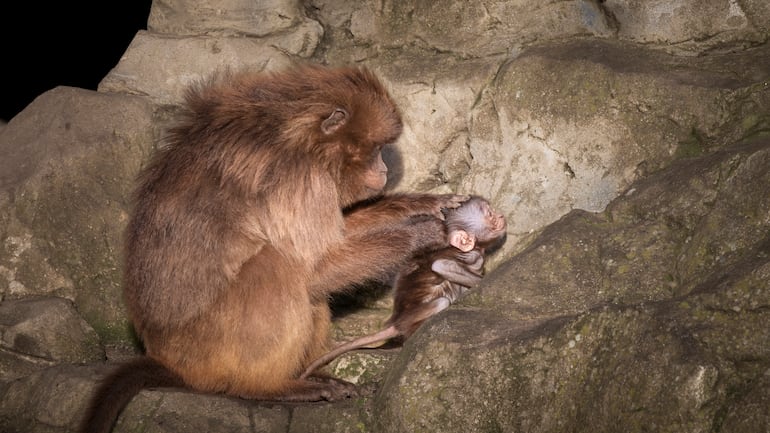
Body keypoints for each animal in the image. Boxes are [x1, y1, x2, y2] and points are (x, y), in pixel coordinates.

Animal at [79, 65, 471, 433]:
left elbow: (333, 241)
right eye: (375, 149)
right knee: (278, 265)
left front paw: (421, 205)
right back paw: (266, 387)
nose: (384, 168)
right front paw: (421, 233)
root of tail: (169, 358)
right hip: (206, 350)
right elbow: (318, 266)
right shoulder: (301, 179)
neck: (300, 138)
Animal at [299, 196, 506, 379]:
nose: (501, 216)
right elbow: (441, 266)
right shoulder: (469, 255)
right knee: (441, 302)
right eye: (489, 214)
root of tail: (398, 321)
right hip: (417, 315)